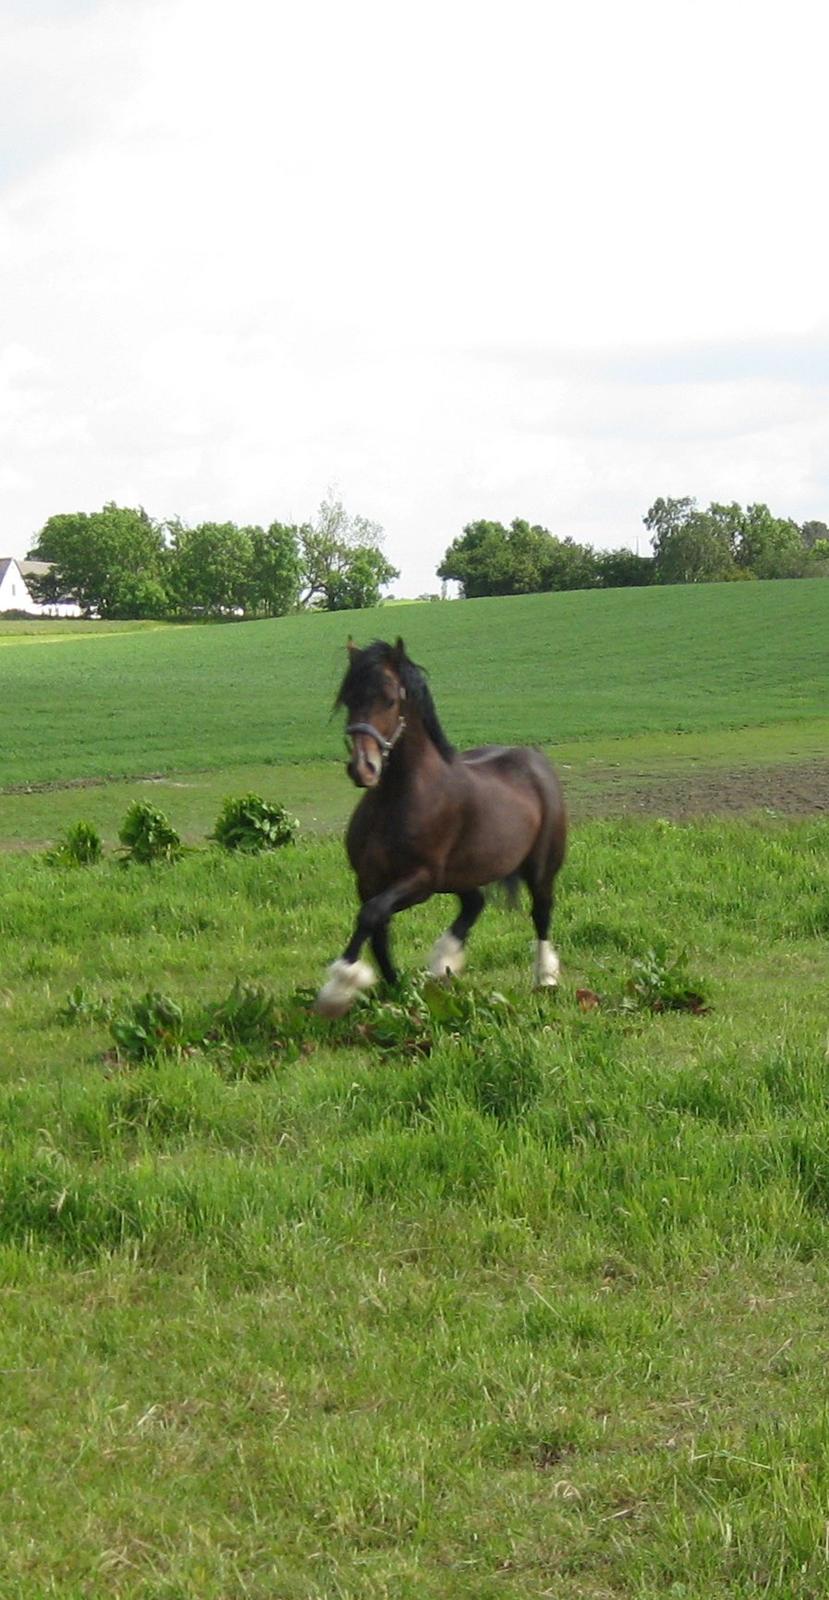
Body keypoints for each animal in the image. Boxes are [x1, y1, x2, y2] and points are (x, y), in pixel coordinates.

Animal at [315, 633, 569, 1011]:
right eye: (348, 699)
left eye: (390, 700)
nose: (363, 769)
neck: (399, 799)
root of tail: (536, 760)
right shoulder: (369, 879)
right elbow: (377, 931)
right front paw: (394, 988)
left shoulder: (420, 880)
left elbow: (371, 916)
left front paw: (339, 986)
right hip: (461, 874)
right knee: (475, 903)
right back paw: (443, 962)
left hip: (539, 869)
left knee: (541, 914)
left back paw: (545, 978)